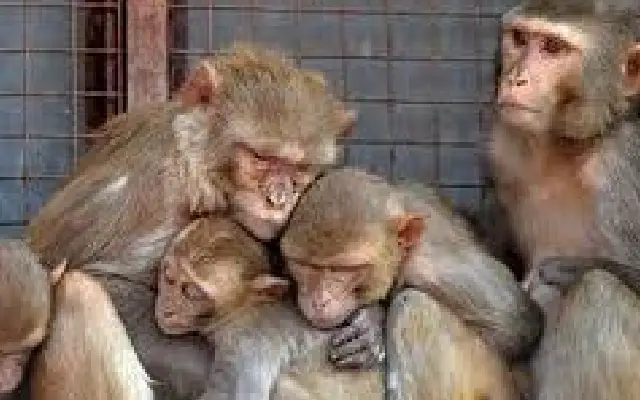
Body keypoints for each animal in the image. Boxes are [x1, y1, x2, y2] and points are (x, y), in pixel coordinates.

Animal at [25, 43, 361, 399]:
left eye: (299, 168)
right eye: (261, 158)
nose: (279, 199)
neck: (200, 169)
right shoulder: (160, 189)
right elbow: (105, 279)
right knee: (79, 294)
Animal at [279, 167, 543, 399]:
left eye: (345, 269)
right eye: (304, 264)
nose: (320, 300)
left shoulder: (433, 264)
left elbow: (518, 326)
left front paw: (373, 323)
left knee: (414, 306)